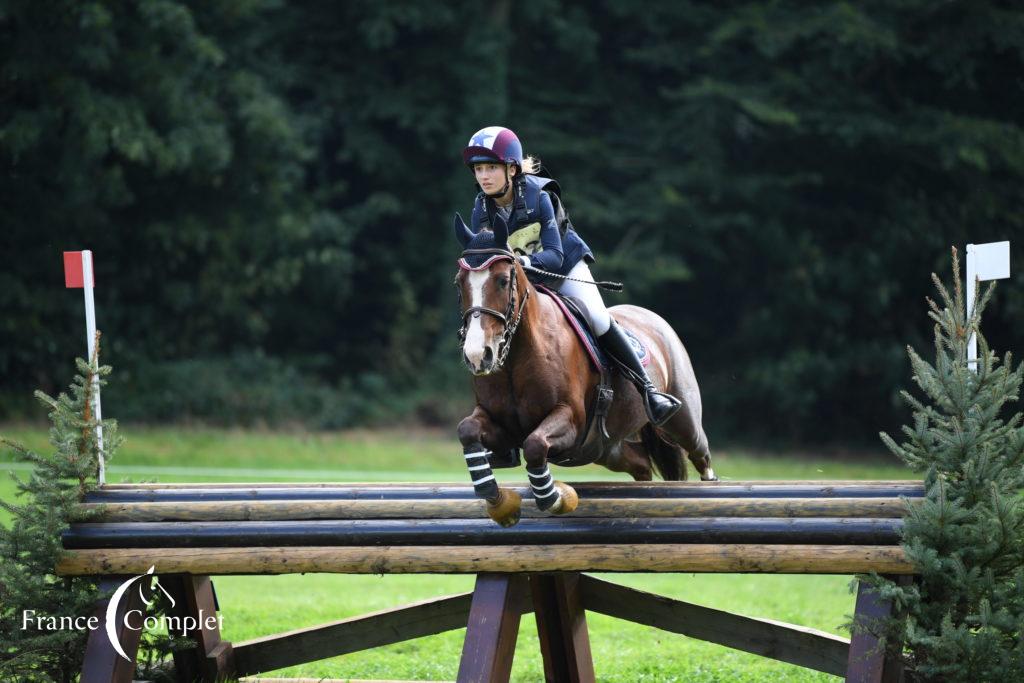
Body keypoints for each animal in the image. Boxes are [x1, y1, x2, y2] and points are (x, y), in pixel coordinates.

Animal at [452, 215, 716, 528]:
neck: (515, 357)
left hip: (682, 421)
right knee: (641, 464)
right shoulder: (499, 424)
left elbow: (535, 445)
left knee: (701, 454)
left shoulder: (571, 419)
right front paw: (499, 502)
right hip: (607, 449)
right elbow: (467, 430)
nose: (477, 356)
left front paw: (557, 499)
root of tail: (654, 318)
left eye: (503, 281)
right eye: (459, 284)